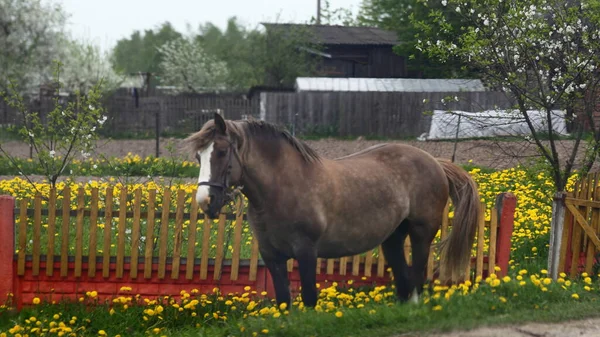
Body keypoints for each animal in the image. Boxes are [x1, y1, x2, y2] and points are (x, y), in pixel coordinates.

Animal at [185, 113, 480, 308]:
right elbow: (284, 301)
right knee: (402, 275)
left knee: (417, 275)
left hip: (421, 233)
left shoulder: (306, 252)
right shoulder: (272, 257)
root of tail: (435, 161)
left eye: (221, 151)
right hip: (393, 237)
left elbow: (309, 299)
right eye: (198, 156)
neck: (283, 186)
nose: (206, 201)